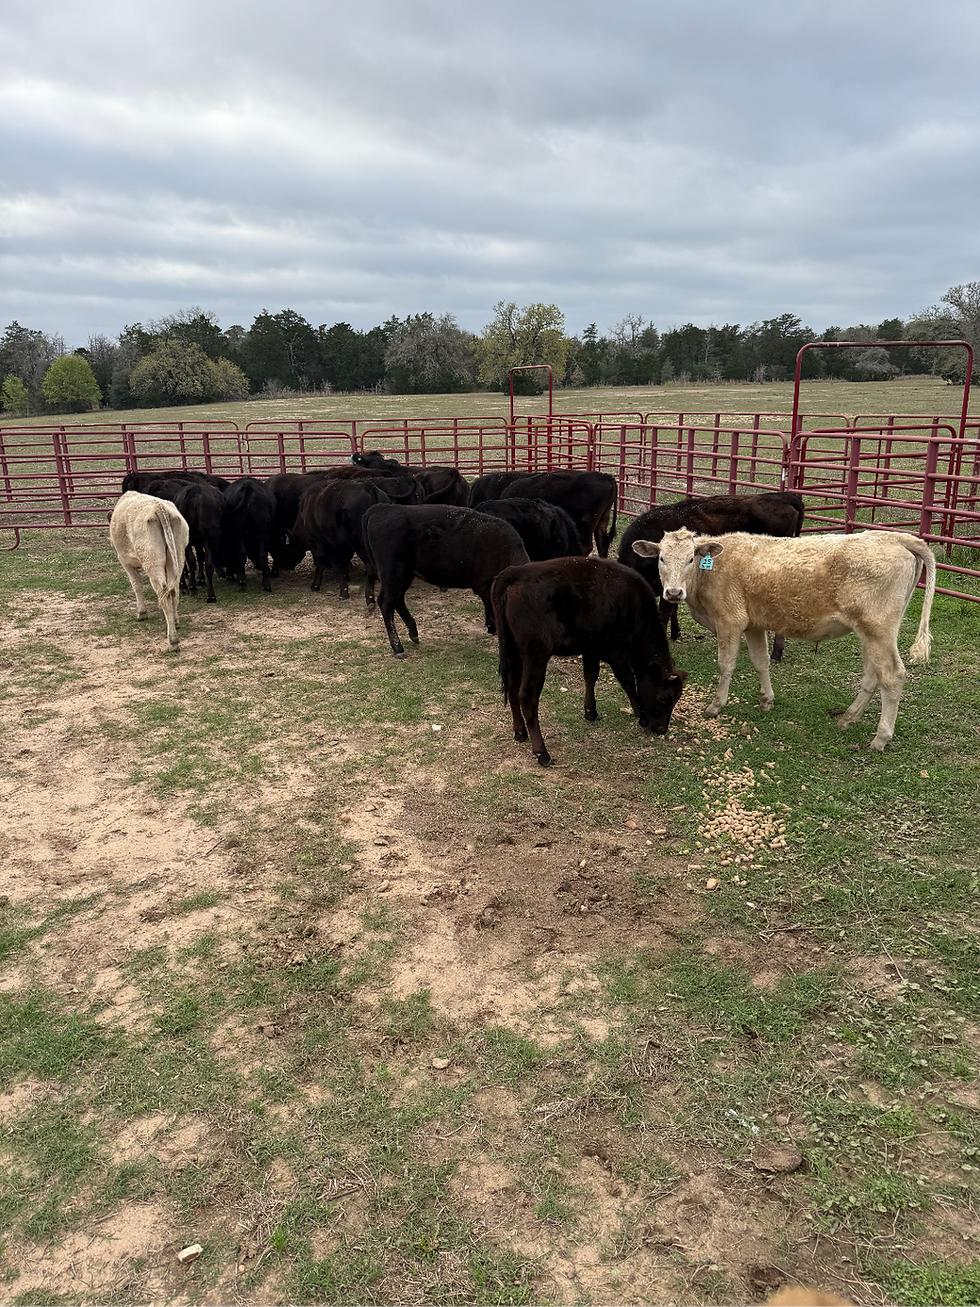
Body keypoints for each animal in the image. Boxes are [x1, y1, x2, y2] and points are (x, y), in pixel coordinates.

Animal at [109, 492, 190, 651]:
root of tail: (159, 507)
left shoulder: (124, 561)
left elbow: (136, 585)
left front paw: (141, 612)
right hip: (177, 556)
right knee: (174, 590)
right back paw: (175, 621)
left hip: (152, 562)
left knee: (165, 594)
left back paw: (173, 641)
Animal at [361, 504, 529, 658]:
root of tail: (383, 508)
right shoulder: (486, 589)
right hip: (392, 573)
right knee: (386, 603)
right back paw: (398, 648)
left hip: (406, 575)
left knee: (398, 600)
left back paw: (413, 632)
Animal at [491, 557, 686, 766]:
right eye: (664, 697)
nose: (661, 729)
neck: (636, 609)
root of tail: (515, 572)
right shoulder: (617, 653)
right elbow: (629, 683)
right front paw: (641, 715)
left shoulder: (591, 649)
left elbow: (590, 676)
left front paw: (590, 710)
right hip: (535, 657)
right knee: (527, 697)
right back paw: (542, 753)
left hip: (513, 650)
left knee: (511, 687)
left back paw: (520, 732)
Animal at [633, 528, 936, 750]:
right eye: (661, 558)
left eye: (690, 559)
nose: (673, 592)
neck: (712, 571)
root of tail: (896, 536)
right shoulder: (753, 625)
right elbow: (760, 662)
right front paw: (766, 700)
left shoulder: (730, 621)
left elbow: (726, 665)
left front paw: (715, 706)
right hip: (871, 634)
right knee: (873, 676)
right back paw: (848, 719)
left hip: (878, 630)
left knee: (892, 676)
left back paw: (880, 738)